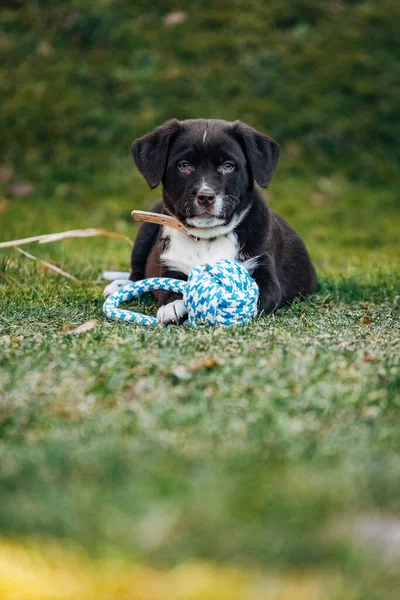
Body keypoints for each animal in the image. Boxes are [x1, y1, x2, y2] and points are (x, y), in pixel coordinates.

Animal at [104, 118, 318, 324]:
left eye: (228, 166)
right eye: (184, 165)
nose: (206, 196)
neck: (207, 238)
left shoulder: (264, 270)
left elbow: (256, 298)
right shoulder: (169, 266)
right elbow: (167, 287)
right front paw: (172, 306)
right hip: (147, 226)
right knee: (136, 272)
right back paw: (121, 285)